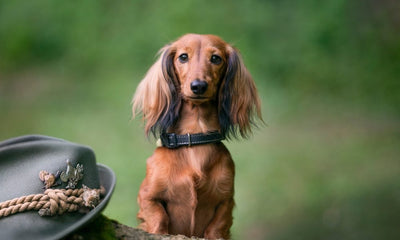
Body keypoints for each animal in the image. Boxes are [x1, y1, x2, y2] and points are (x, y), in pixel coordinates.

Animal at [131, 33, 262, 238]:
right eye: (183, 57)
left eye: (216, 58)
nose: (199, 86)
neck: (194, 136)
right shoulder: (147, 196)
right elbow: (159, 217)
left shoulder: (226, 200)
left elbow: (217, 226)